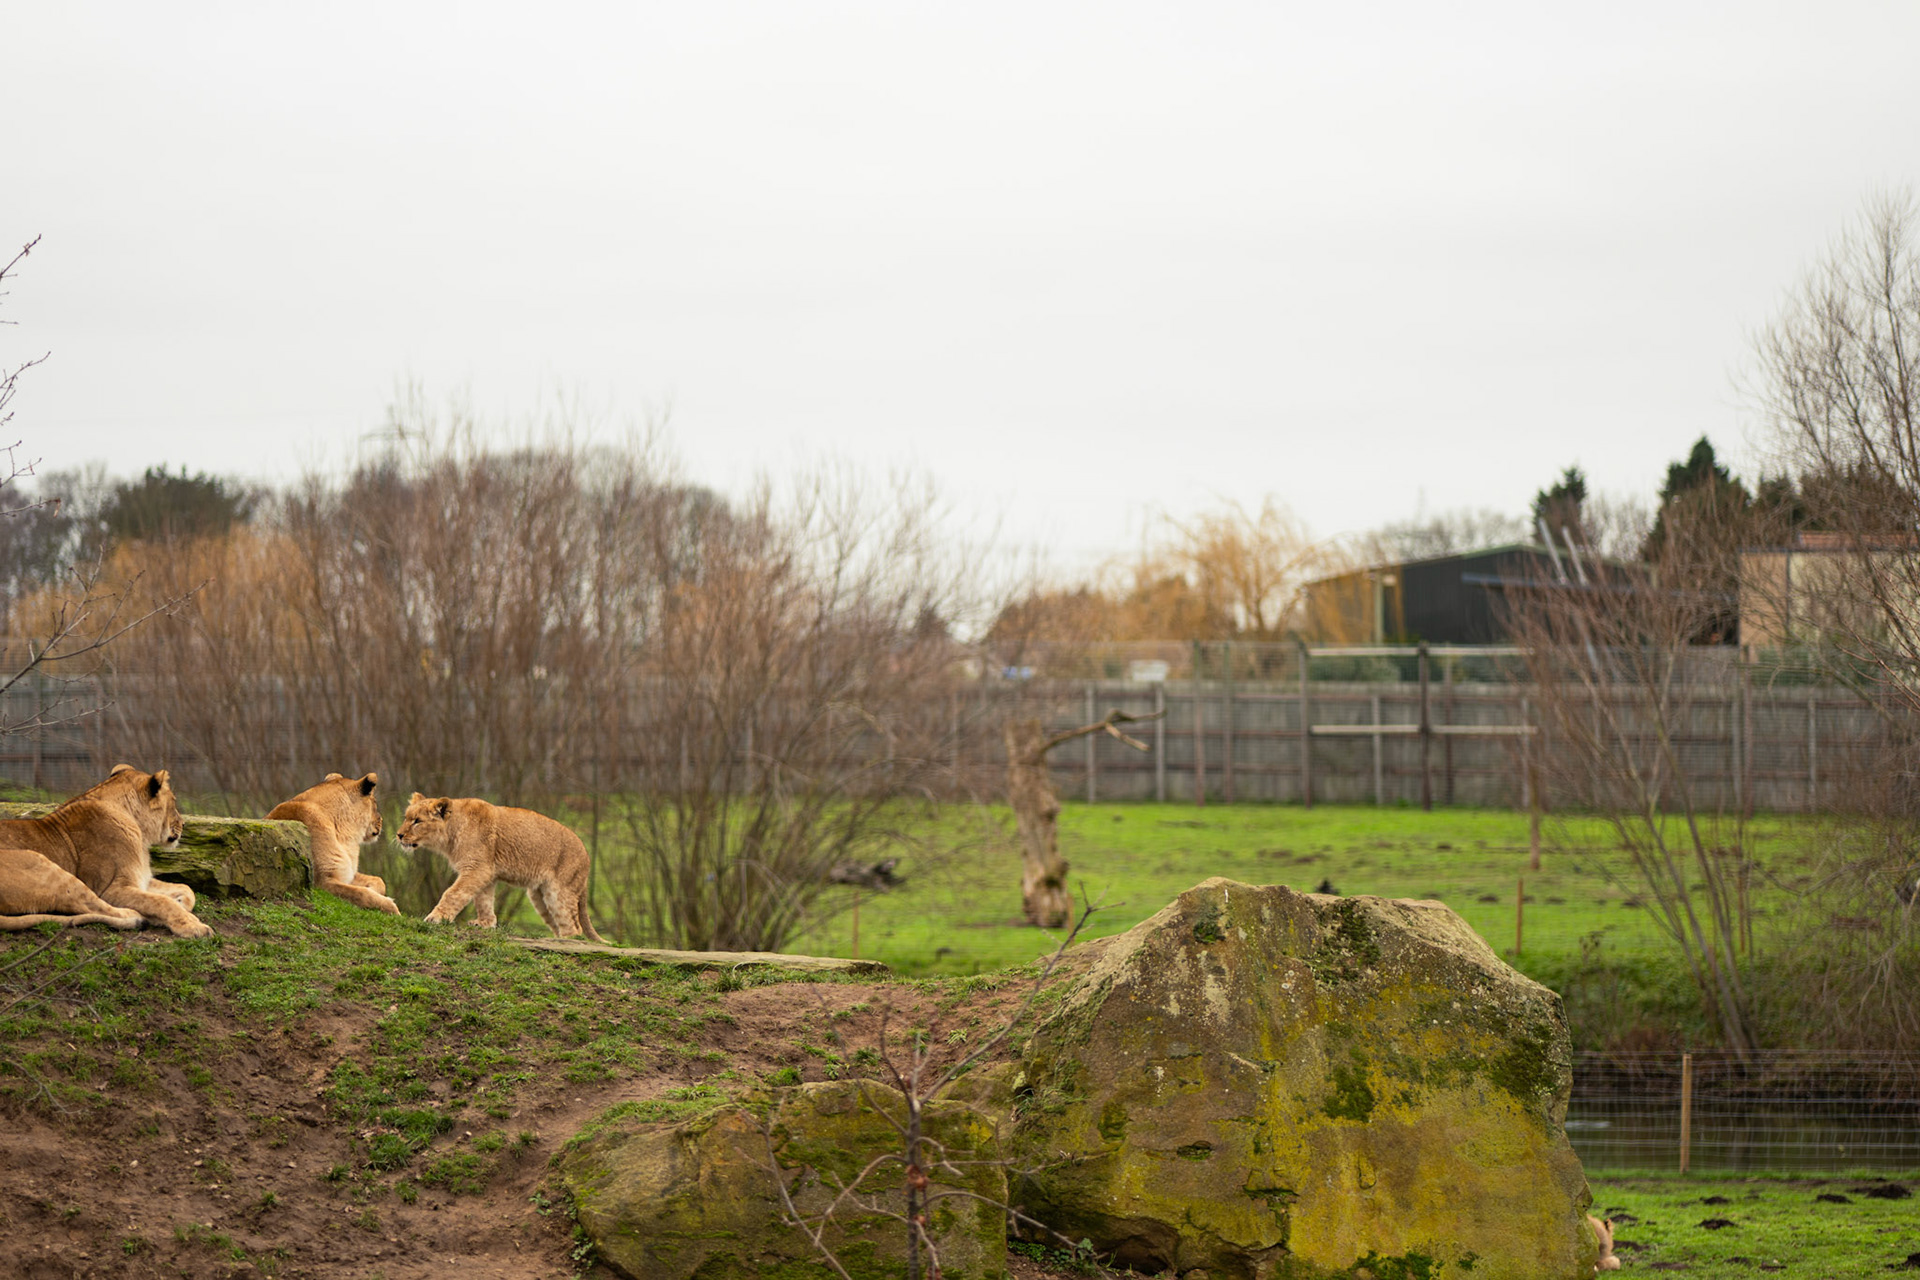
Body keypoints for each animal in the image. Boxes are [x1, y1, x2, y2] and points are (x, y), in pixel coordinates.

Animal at [0, 764, 210, 938]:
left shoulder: (139, 879)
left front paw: (181, 903)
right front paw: (192, 926)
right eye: (174, 801)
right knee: (93, 906)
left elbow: (186, 888)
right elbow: (160, 901)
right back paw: (135, 916)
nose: (183, 824)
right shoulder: (111, 888)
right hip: (46, 867)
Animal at [268, 772, 399, 915]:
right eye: (374, 804)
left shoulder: (346, 872)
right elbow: (361, 894)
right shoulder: (320, 882)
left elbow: (378, 880)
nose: (381, 820)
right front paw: (391, 907)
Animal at [396, 793, 604, 941]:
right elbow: (483, 900)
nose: (398, 835)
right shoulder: (486, 872)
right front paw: (485, 923)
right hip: (539, 895)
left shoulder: (477, 868)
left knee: (574, 927)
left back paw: (568, 940)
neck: (450, 835)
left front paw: (436, 918)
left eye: (417, 821)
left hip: (559, 892)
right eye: (406, 818)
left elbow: (453, 893)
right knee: (558, 922)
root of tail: (586, 854)